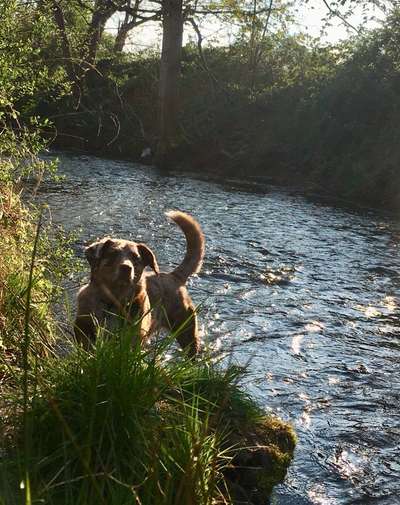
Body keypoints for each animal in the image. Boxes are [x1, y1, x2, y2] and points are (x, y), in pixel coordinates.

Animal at [75, 211, 205, 356]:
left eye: (136, 258)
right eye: (113, 253)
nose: (126, 268)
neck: (114, 301)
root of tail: (174, 276)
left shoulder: (133, 338)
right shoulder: (84, 330)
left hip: (186, 329)